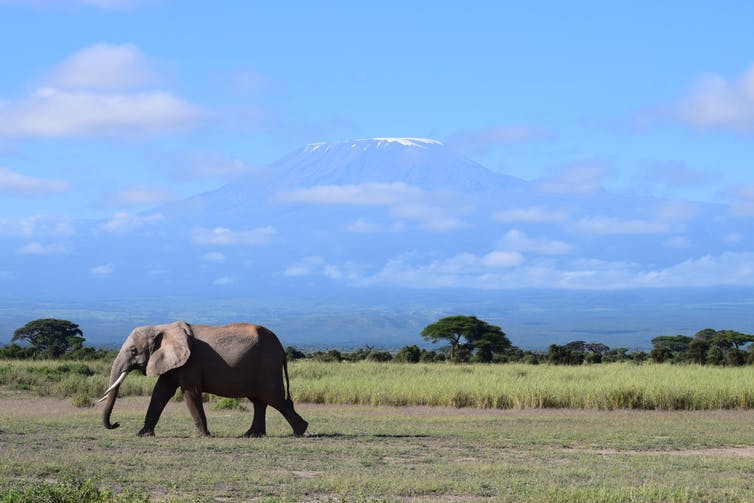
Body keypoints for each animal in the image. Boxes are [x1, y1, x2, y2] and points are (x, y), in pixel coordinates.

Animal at [98, 322, 306, 438]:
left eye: (133, 350)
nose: (116, 424)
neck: (162, 327)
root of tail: (282, 349)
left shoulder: (191, 363)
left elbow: (190, 393)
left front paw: (202, 436)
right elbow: (161, 392)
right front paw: (142, 434)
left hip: (267, 366)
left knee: (274, 398)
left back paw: (300, 431)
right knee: (259, 401)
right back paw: (252, 435)